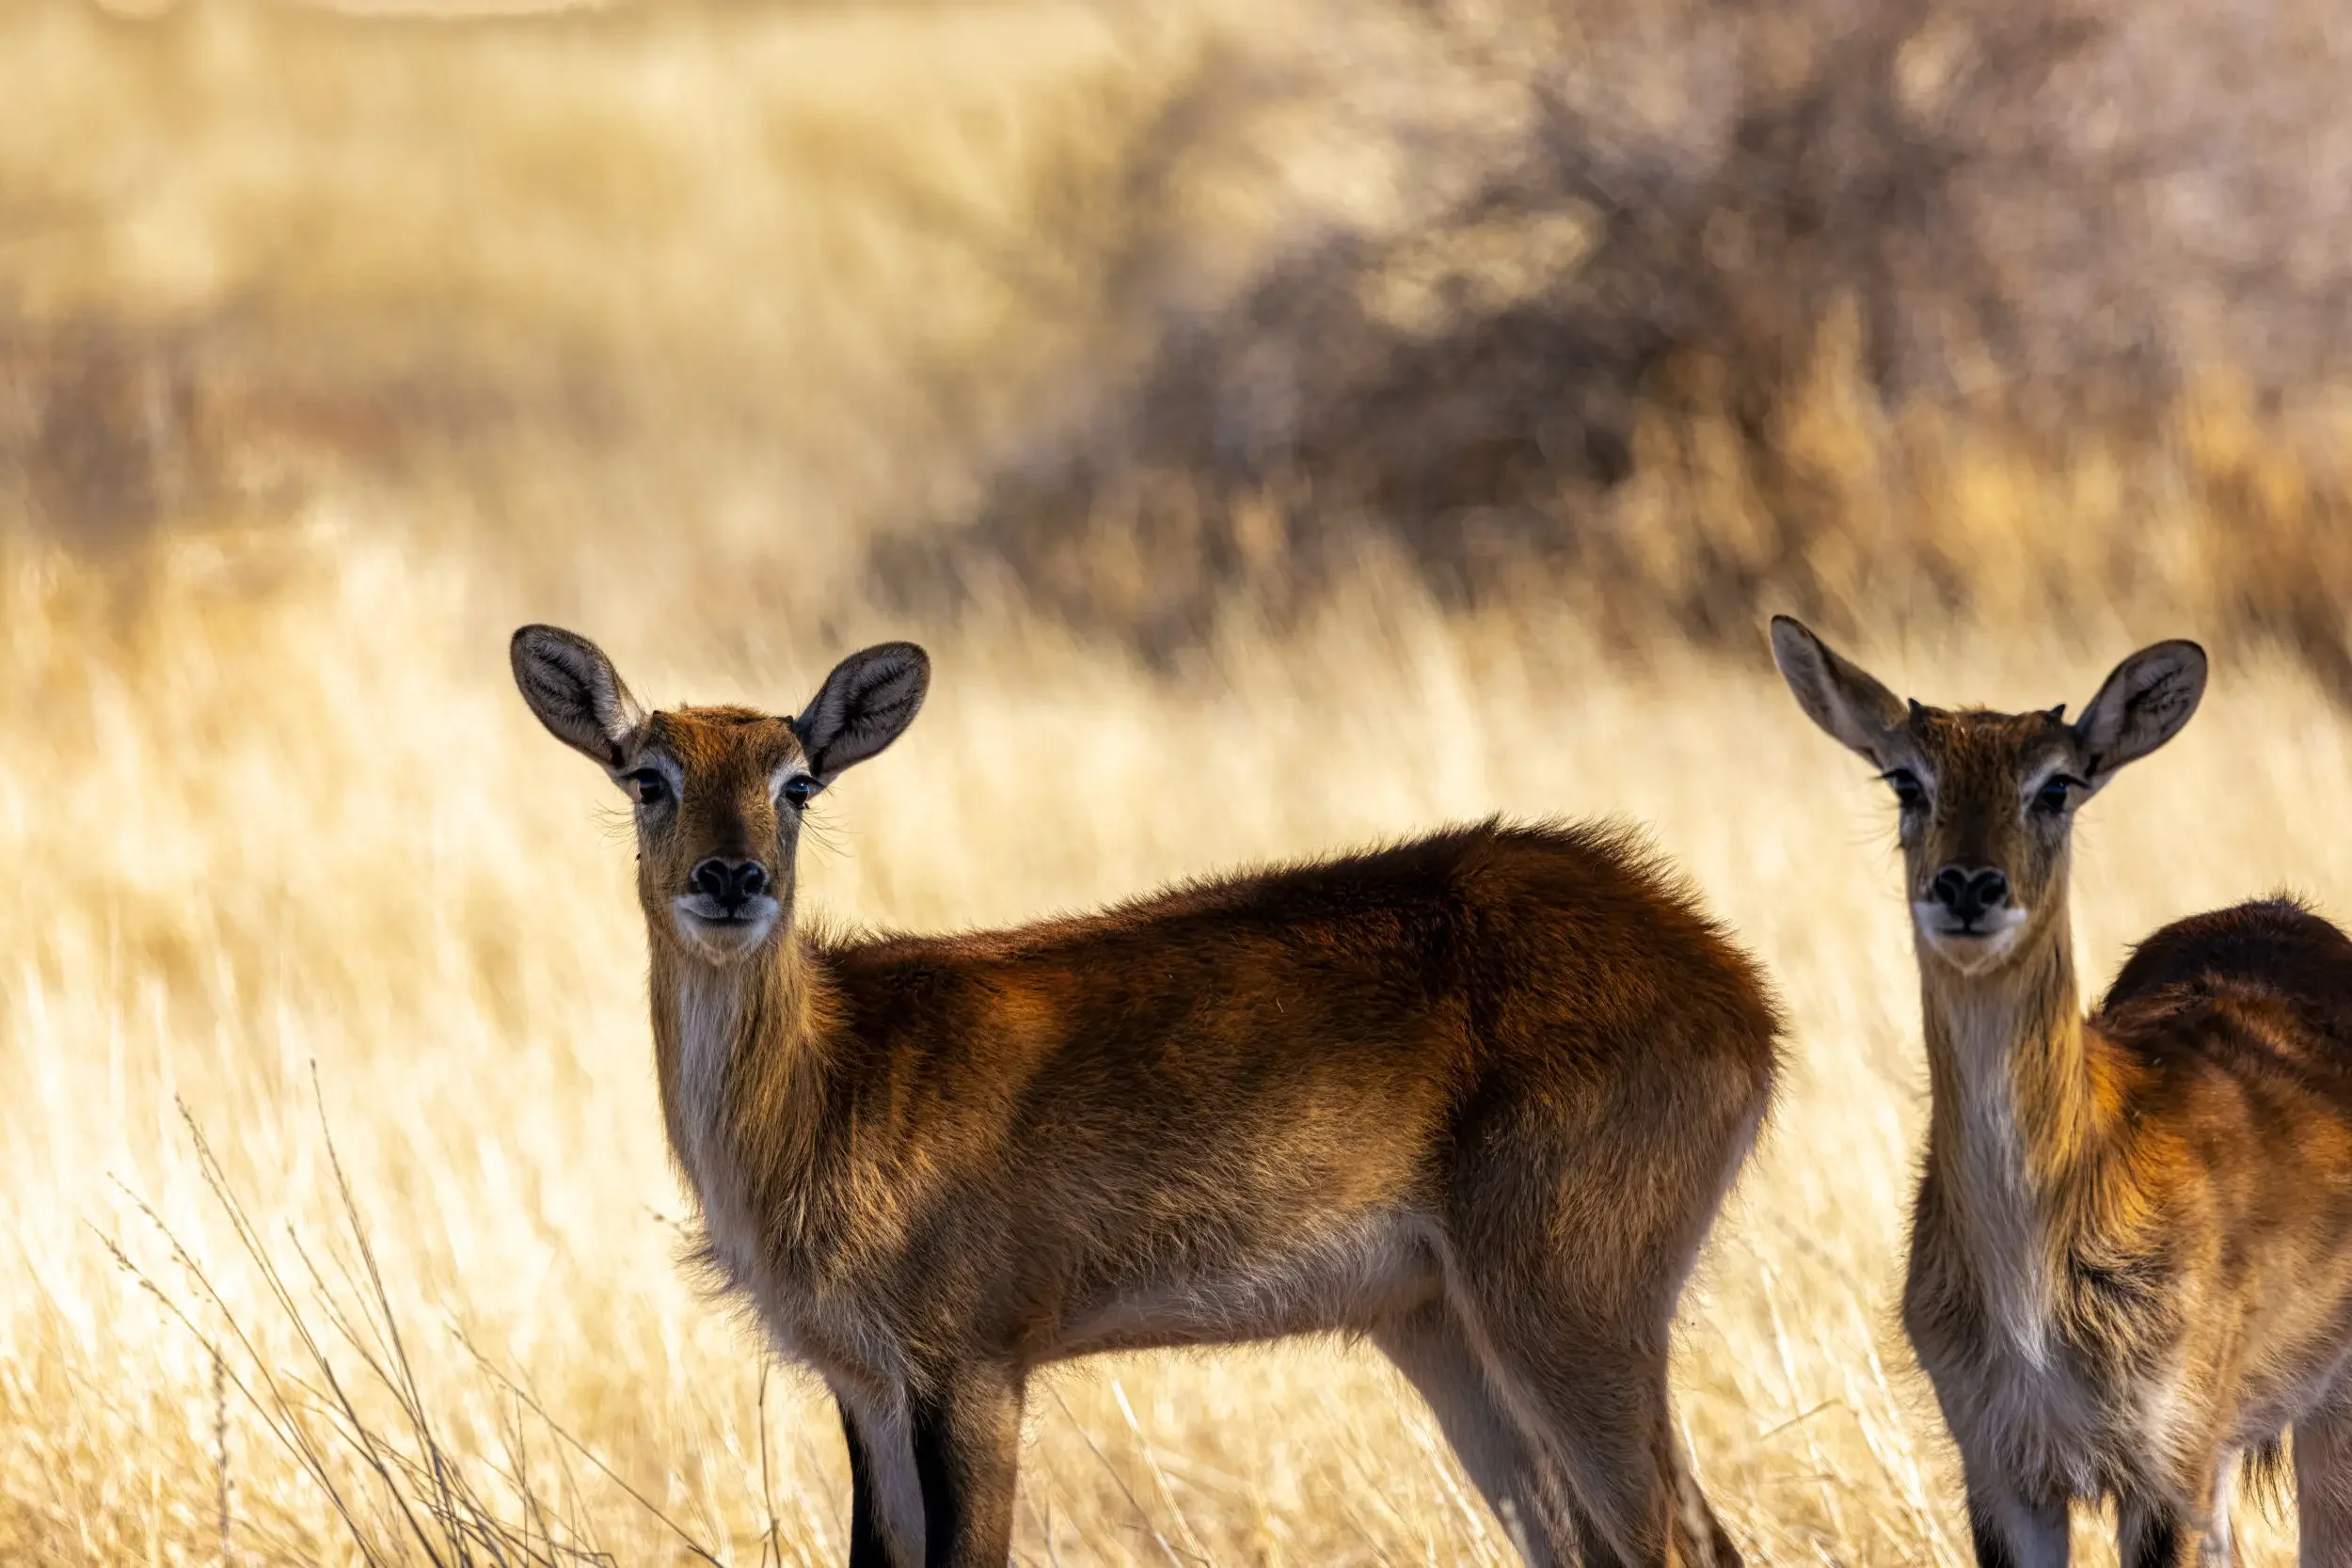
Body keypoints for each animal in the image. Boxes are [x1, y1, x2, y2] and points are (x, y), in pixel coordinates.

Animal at [510, 623, 1780, 1568]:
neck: (837, 1073)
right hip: (1441, 1324)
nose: (732, 879)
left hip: (1572, 1304)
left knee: (1685, 1540)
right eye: (649, 776)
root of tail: (1722, 972)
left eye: (798, 781)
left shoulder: (973, 1368)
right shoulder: (863, 1381)